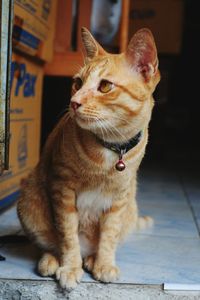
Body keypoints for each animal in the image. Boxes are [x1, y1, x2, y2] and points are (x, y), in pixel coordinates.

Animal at [17, 27, 161, 288]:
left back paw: (92, 259)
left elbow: (109, 235)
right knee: (48, 244)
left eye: (105, 86)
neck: (113, 149)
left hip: (130, 207)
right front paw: (70, 267)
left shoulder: (120, 197)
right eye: (77, 83)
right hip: (29, 203)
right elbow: (67, 235)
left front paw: (104, 264)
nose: (74, 103)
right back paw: (52, 261)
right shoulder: (62, 188)